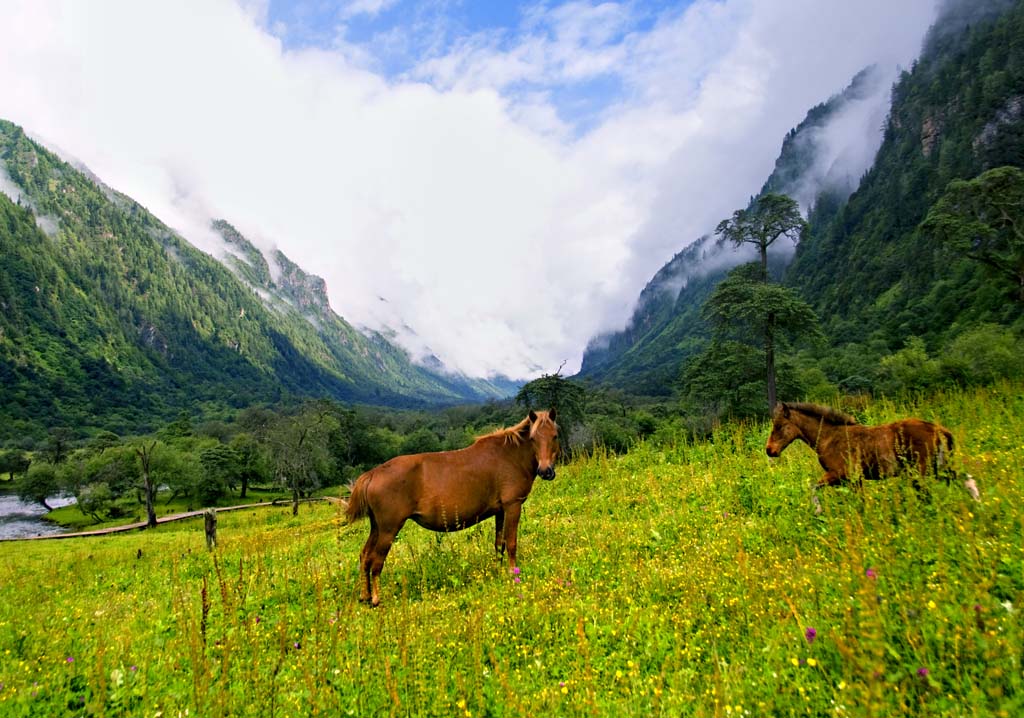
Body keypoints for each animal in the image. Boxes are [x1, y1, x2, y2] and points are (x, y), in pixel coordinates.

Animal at [344, 409, 561, 606]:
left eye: (555, 435)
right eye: (533, 438)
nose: (546, 471)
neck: (510, 455)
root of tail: (373, 473)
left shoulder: (501, 511)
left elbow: (499, 544)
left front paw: (499, 571)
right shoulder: (512, 506)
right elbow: (512, 543)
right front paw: (512, 573)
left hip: (377, 527)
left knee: (364, 556)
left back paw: (364, 595)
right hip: (389, 529)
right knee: (376, 561)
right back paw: (375, 598)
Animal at [765, 401, 978, 505]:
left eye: (779, 426)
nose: (770, 450)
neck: (829, 437)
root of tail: (939, 429)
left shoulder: (840, 474)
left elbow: (813, 487)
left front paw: (817, 511)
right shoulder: (853, 479)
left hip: (921, 472)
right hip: (939, 468)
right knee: (965, 478)